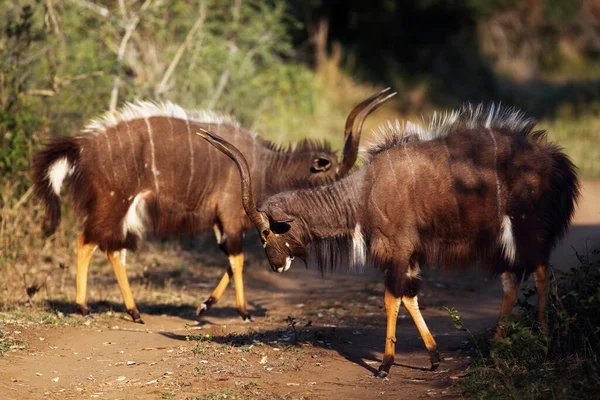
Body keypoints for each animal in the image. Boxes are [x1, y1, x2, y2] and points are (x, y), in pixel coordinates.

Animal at [31, 90, 394, 322]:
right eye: (332, 177)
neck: (264, 167)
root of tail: (82, 147)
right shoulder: (232, 217)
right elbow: (238, 259)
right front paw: (243, 313)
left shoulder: (225, 223)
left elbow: (230, 262)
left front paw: (204, 307)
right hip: (112, 204)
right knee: (86, 242)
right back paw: (83, 308)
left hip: (122, 212)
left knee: (112, 249)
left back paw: (134, 313)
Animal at [199, 104, 580, 378]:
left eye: (266, 232)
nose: (277, 265)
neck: (365, 192)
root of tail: (559, 163)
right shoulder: (408, 256)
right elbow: (410, 297)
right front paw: (433, 358)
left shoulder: (397, 250)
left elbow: (390, 300)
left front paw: (385, 365)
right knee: (513, 279)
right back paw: (497, 345)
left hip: (528, 230)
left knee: (540, 273)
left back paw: (542, 338)